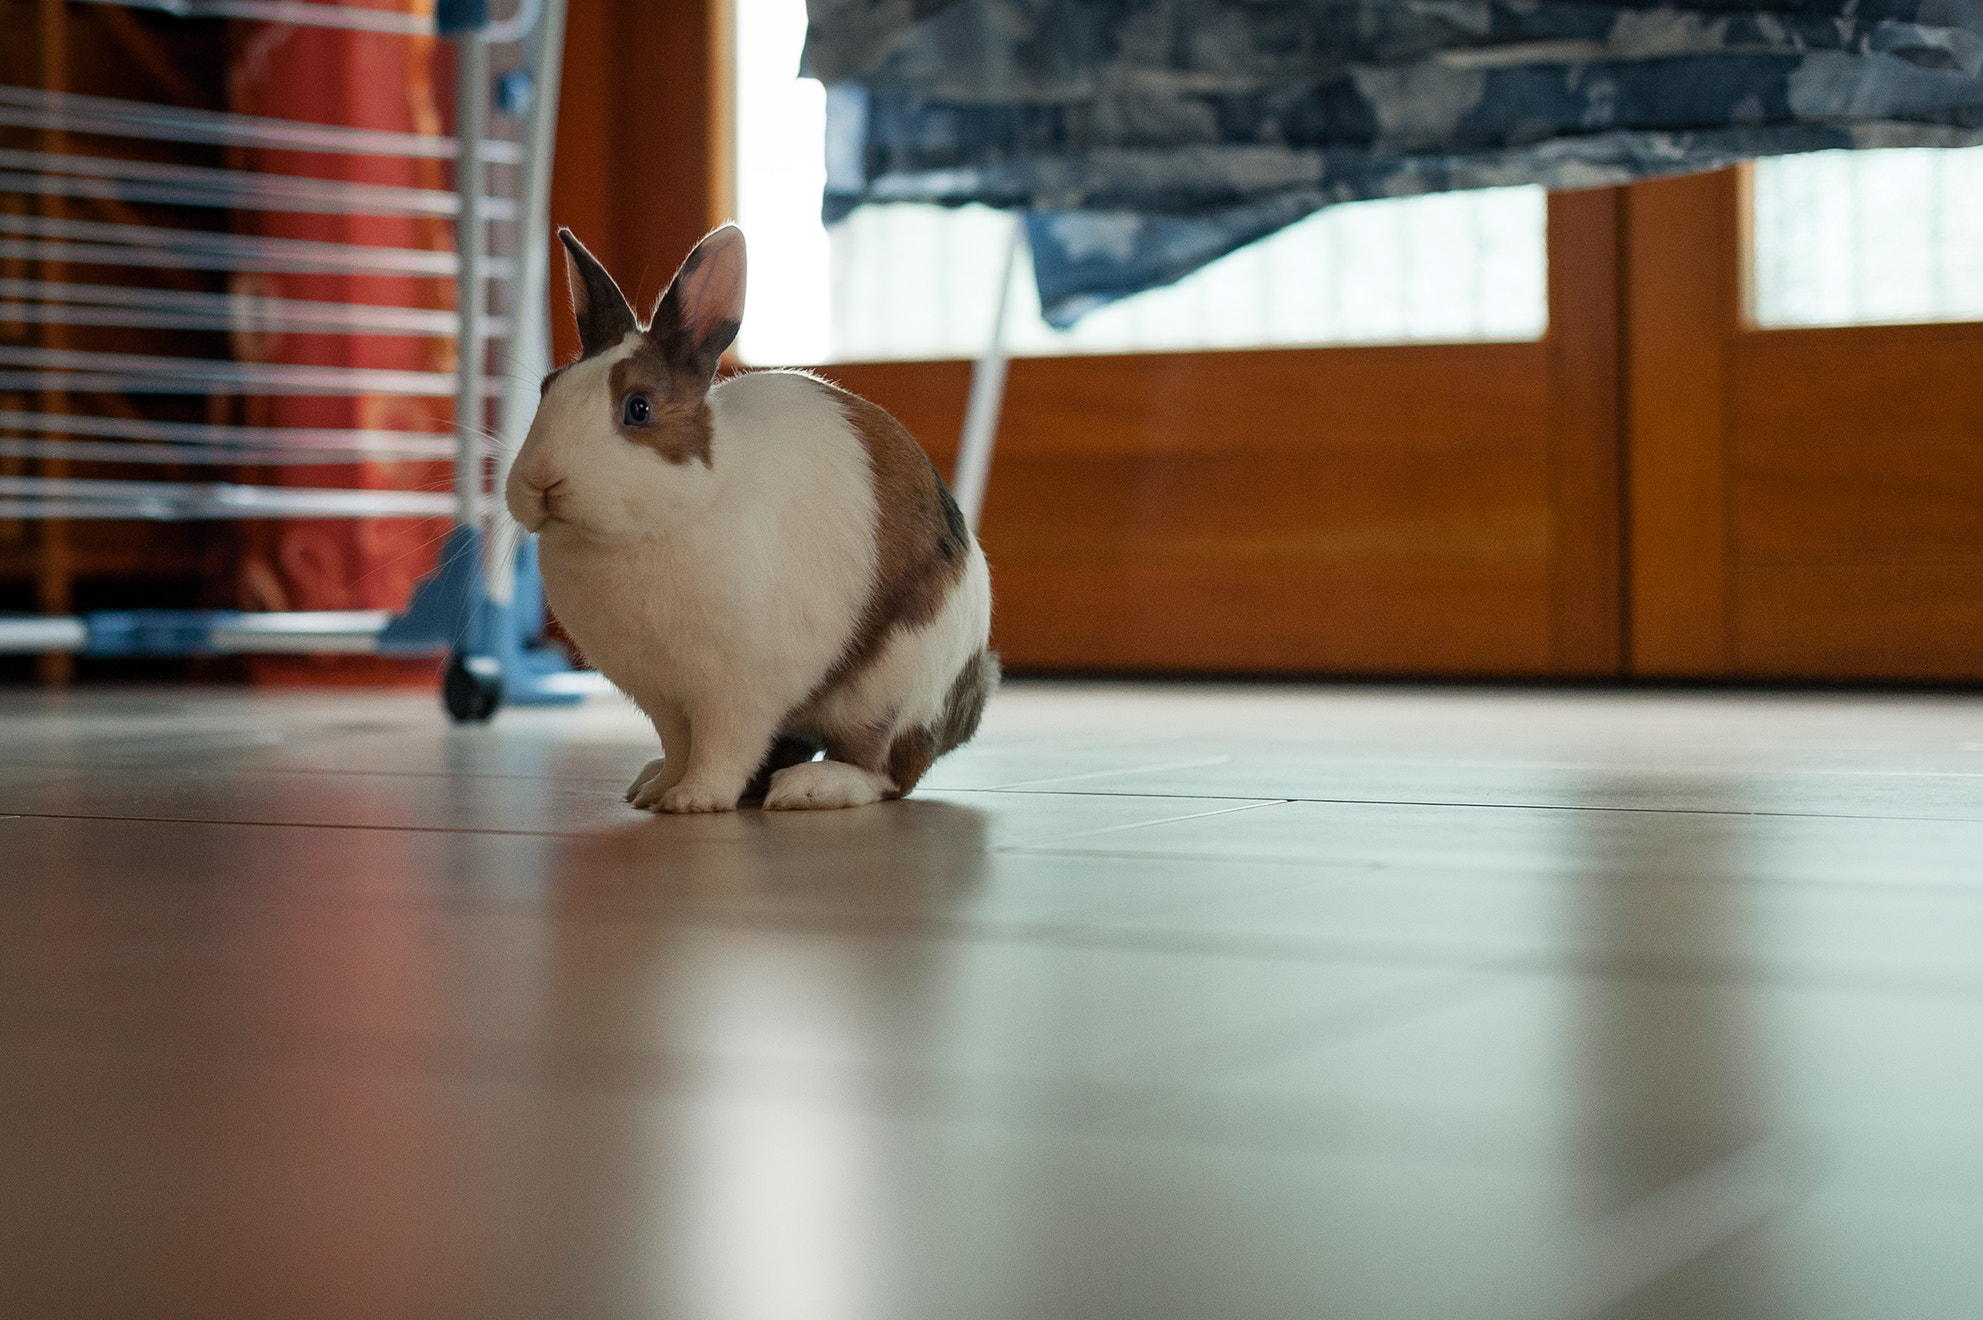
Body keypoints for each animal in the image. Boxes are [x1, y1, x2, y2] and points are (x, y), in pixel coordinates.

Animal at [505, 224, 998, 813]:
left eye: (638, 408)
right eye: (546, 389)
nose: (542, 481)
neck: (662, 523)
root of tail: (969, 705)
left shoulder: (737, 695)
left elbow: (724, 750)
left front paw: (692, 799)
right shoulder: (664, 699)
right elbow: (678, 746)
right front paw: (660, 790)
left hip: (890, 691)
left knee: (885, 770)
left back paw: (809, 788)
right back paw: (658, 778)